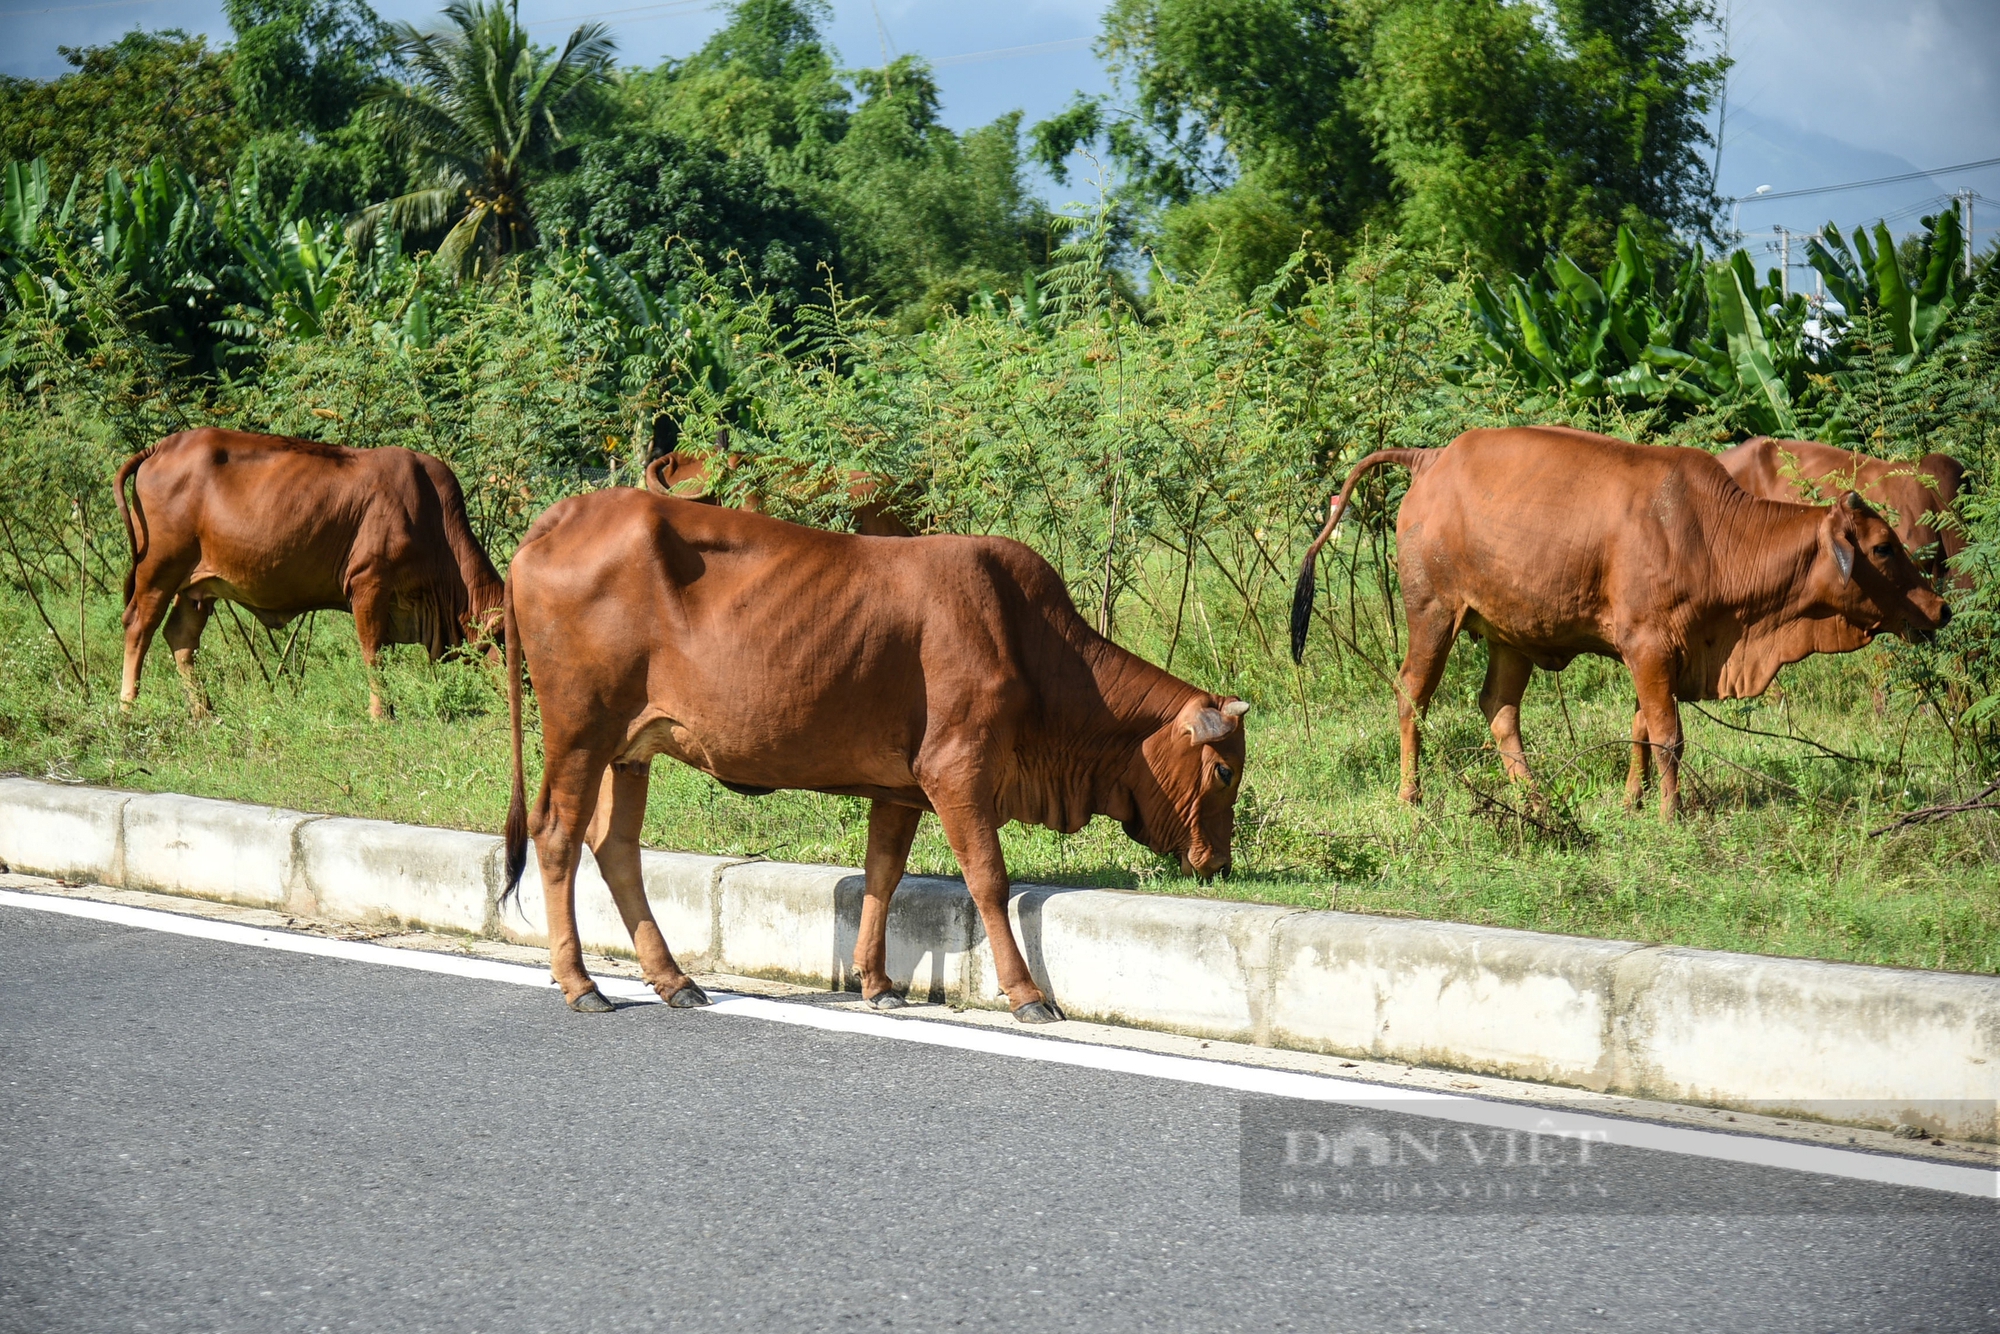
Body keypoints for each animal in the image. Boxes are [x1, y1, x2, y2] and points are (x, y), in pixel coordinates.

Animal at [117, 430, 508, 720]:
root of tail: (161, 446)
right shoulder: (369, 584)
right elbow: (374, 653)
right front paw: (381, 714)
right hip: (158, 570)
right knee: (139, 627)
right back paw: (128, 707)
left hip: (198, 586)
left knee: (181, 636)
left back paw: (204, 712)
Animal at [500, 490, 1248, 1024]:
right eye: (1223, 770)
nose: (1219, 862)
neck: (1031, 641)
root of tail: (560, 518)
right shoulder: (958, 770)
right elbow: (988, 879)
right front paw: (1026, 994)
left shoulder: (900, 788)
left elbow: (882, 876)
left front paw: (878, 983)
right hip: (579, 730)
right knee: (558, 835)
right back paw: (581, 984)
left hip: (631, 747)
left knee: (615, 846)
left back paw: (674, 979)